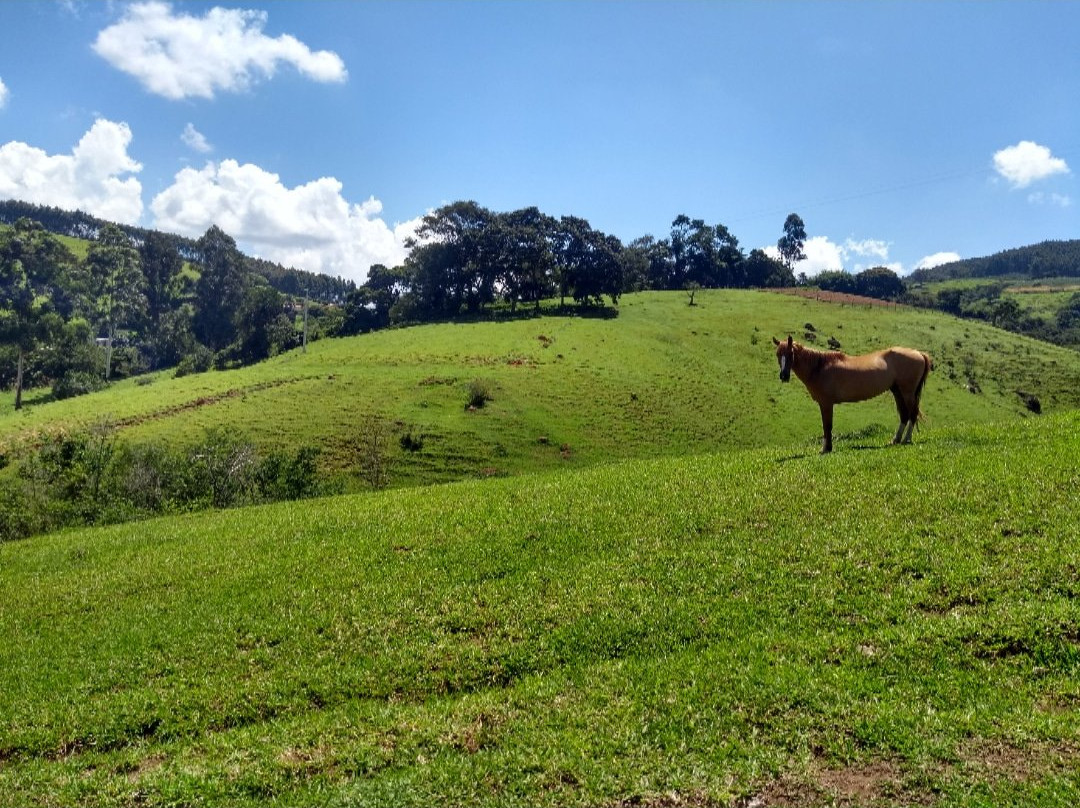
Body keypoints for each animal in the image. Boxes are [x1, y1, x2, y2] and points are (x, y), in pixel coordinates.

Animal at [773, 334, 933, 453]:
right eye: (778, 354)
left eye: (790, 353)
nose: (784, 376)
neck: (819, 367)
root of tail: (919, 353)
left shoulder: (826, 404)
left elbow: (827, 426)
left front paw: (826, 449)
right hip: (898, 392)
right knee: (904, 415)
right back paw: (896, 440)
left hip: (907, 393)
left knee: (912, 413)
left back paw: (906, 439)